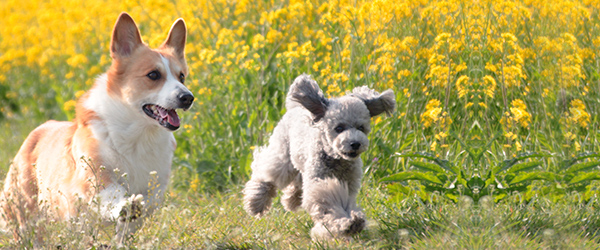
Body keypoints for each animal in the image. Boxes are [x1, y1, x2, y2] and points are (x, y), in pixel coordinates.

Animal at [0, 12, 192, 243]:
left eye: (182, 76)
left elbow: (146, 205)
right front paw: (126, 205)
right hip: (26, 211)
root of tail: (37, 132)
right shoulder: (94, 173)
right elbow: (112, 192)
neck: (137, 133)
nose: (187, 97)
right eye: (153, 75)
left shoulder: (156, 183)